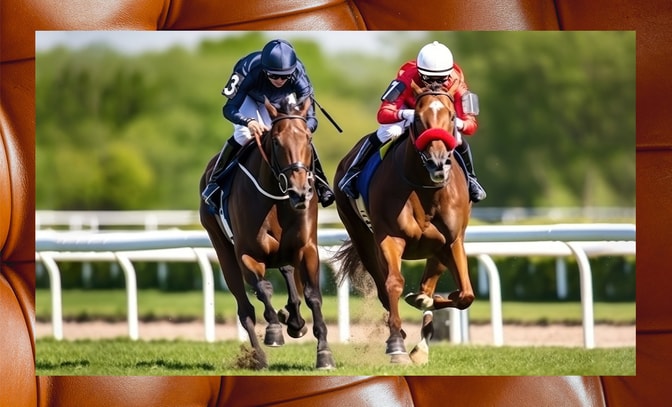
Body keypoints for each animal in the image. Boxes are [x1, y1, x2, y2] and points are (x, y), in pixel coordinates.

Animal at [199, 96, 335, 370]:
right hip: (223, 250)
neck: (278, 197)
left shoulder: (306, 248)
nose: (300, 192)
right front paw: (273, 330)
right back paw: (259, 356)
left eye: (308, 138)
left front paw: (324, 353)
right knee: (245, 309)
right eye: (276, 141)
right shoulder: (246, 254)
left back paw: (294, 321)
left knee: (289, 276)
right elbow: (264, 289)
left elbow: (312, 296)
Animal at [333, 80, 475, 365]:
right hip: (364, 240)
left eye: (452, 117)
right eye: (418, 118)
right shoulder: (390, 238)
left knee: (429, 286)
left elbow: (465, 295)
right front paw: (396, 343)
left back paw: (422, 337)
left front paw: (425, 301)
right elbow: (393, 284)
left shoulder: (452, 242)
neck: (425, 190)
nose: (437, 162)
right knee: (382, 286)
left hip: (437, 251)